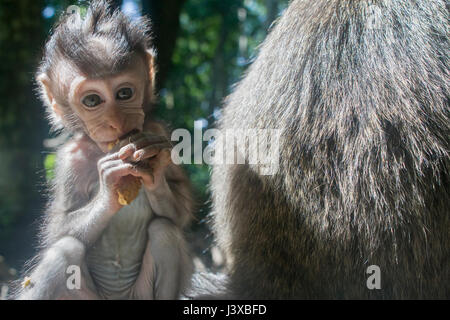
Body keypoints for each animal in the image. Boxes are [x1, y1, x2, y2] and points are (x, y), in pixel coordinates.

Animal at [16, 0, 192, 300]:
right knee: (64, 251)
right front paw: (109, 185)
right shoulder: (69, 159)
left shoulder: (158, 131)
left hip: (140, 294)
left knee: (164, 232)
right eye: (92, 100)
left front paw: (154, 170)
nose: (116, 121)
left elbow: (179, 210)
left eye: (124, 93)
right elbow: (58, 228)